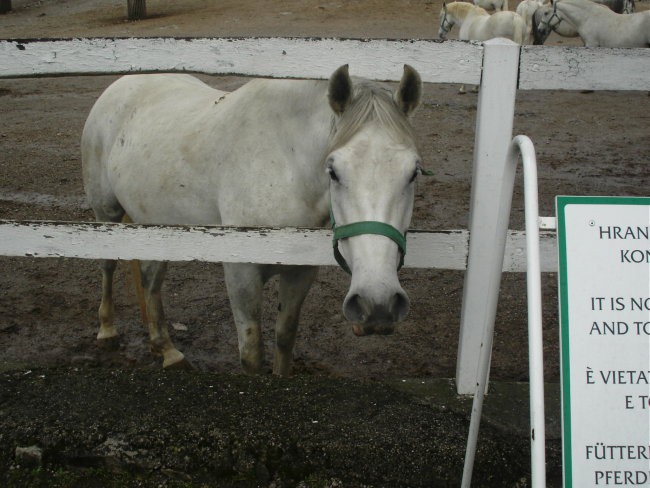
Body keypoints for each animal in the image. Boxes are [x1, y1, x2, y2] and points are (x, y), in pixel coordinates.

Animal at [79, 66, 420, 374]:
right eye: (333, 171)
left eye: (414, 172)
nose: (378, 304)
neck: (283, 167)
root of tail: (123, 82)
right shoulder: (240, 272)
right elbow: (252, 353)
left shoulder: (300, 271)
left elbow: (285, 337)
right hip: (106, 214)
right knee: (108, 266)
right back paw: (107, 330)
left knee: (151, 279)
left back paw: (166, 350)